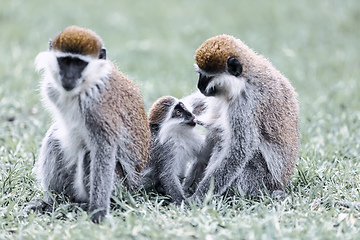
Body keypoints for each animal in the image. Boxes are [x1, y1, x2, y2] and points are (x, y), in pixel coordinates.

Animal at [30, 26, 150, 223]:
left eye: (79, 64)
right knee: (55, 139)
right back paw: (54, 201)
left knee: (88, 155)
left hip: (121, 188)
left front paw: (98, 212)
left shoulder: (99, 109)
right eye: (65, 61)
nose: (69, 76)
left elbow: (104, 149)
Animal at [190, 34, 300, 202]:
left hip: (258, 181)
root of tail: (278, 186)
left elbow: (239, 150)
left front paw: (197, 197)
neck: (244, 80)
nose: (199, 86)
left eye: (207, 77)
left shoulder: (245, 105)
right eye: (199, 74)